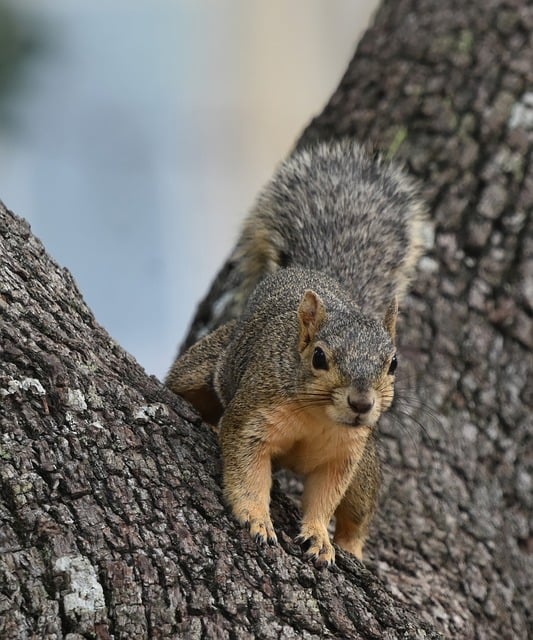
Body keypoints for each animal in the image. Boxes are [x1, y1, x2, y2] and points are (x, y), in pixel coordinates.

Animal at [166, 139, 428, 567]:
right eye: (319, 357)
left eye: (393, 363)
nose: (361, 404)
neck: (319, 416)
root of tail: (310, 273)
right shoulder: (252, 417)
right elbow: (247, 472)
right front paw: (256, 518)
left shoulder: (344, 455)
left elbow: (326, 496)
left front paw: (320, 536)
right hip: (205, 365)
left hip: (366, 466)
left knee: (359, 510)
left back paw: (351, 545)